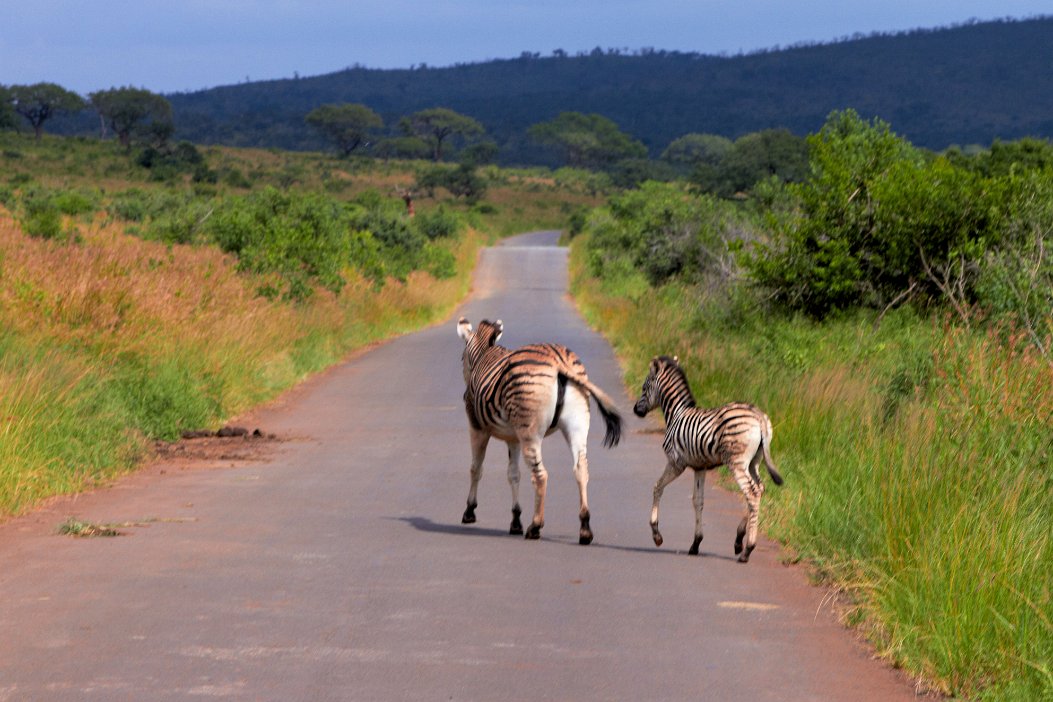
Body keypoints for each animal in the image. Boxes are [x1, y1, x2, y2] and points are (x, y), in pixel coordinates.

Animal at [457, 317, 619, 543]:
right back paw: (585, 528)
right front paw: (516, 520)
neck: (485, 355)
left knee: (541, 475)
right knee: (581, 468)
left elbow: (476, 468)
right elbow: (513, 474)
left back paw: (535, 527)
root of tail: (560, 362)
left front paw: (469, 511)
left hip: (530, 432)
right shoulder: (513, 437)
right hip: (577, 425)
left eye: (460, 358)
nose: (464, 395)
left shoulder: (477, 427)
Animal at [631, 353, 783, 564]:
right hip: (755, 462)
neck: (676, 413)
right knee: (759, 489)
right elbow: (698, 501)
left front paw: (657, 535)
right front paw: (695, 543)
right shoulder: (699, 467)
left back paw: (747, 550)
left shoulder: (676, 463)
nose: (636, 410)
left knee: (751, 493)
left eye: (644, 388)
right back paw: (739, 539)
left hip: (737, 463)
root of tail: (759, 416)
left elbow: (657, 487)